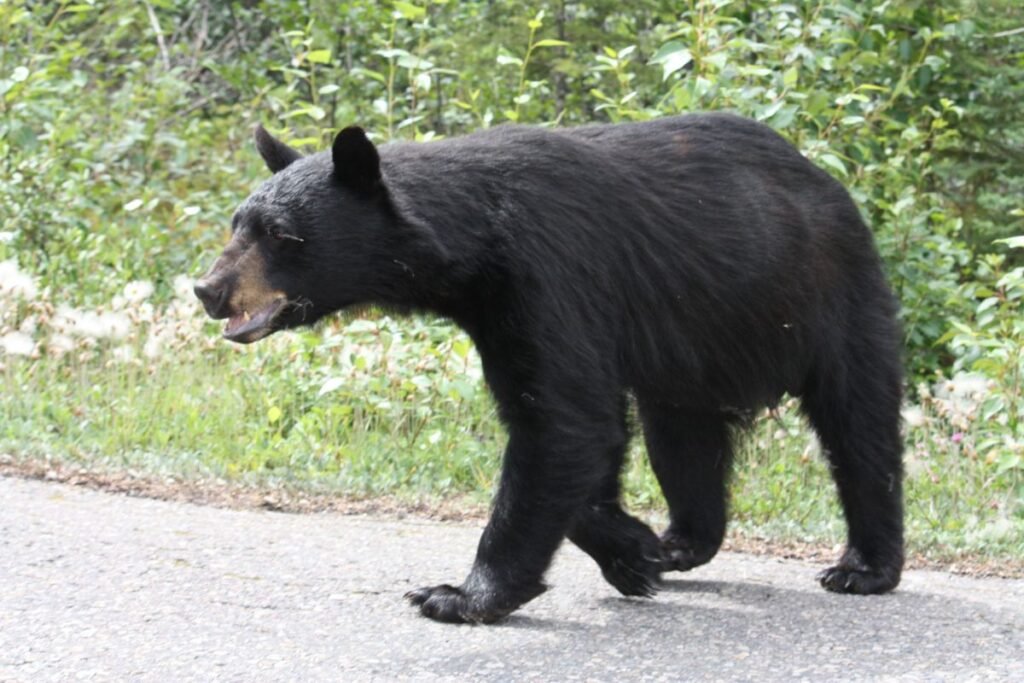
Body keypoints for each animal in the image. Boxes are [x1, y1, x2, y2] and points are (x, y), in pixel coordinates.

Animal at [194, 113, 904, 624]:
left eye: (280, 234)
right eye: (237, 223)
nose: (209, 290)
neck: (474, 248)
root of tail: (831, 183)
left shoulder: (549, 277)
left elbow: (563, 421)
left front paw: (457, 596)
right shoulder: (501, 313)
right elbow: (575, 426)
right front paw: (633, 550)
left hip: (833, 301)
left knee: (860, 427)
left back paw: (863, 568)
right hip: (689, 358)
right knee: (682, 441)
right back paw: (681, 541)